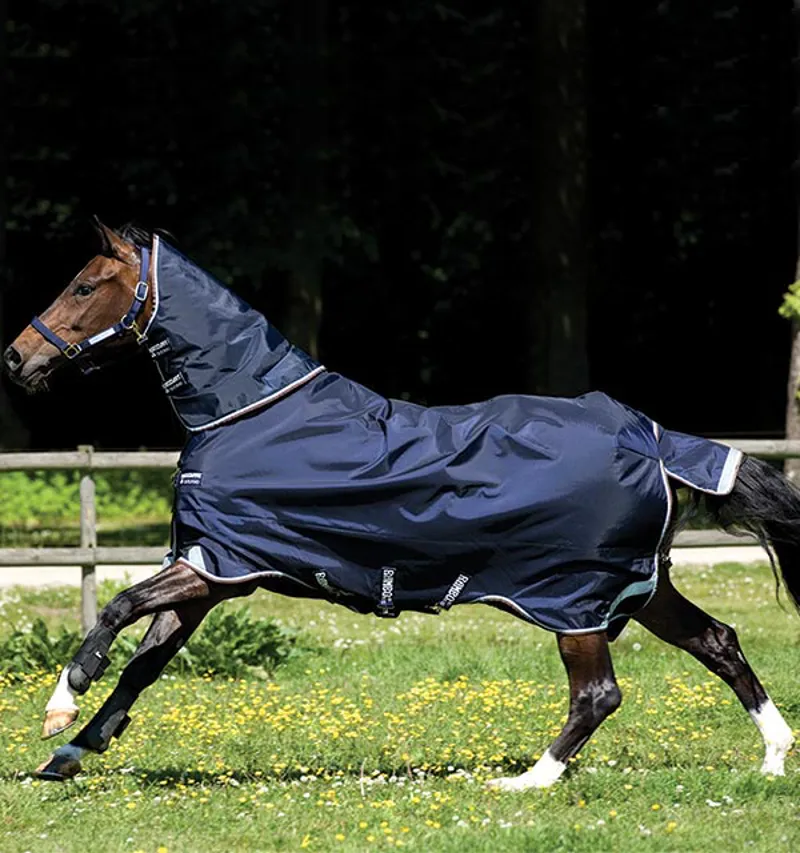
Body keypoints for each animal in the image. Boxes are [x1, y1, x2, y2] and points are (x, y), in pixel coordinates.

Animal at [4, 219, 799, 788]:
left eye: (83, 287)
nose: (16, 358)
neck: (246, 412)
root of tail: (654, 439)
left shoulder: (217, 564)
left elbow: (115, 609)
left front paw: (59, 707)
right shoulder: (214, 572)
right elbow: (145, 662)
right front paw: (68, 754)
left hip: (573, 597)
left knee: (599, 693)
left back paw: (527, 781)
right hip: (638, 585)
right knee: (718, 642)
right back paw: (772, 756)